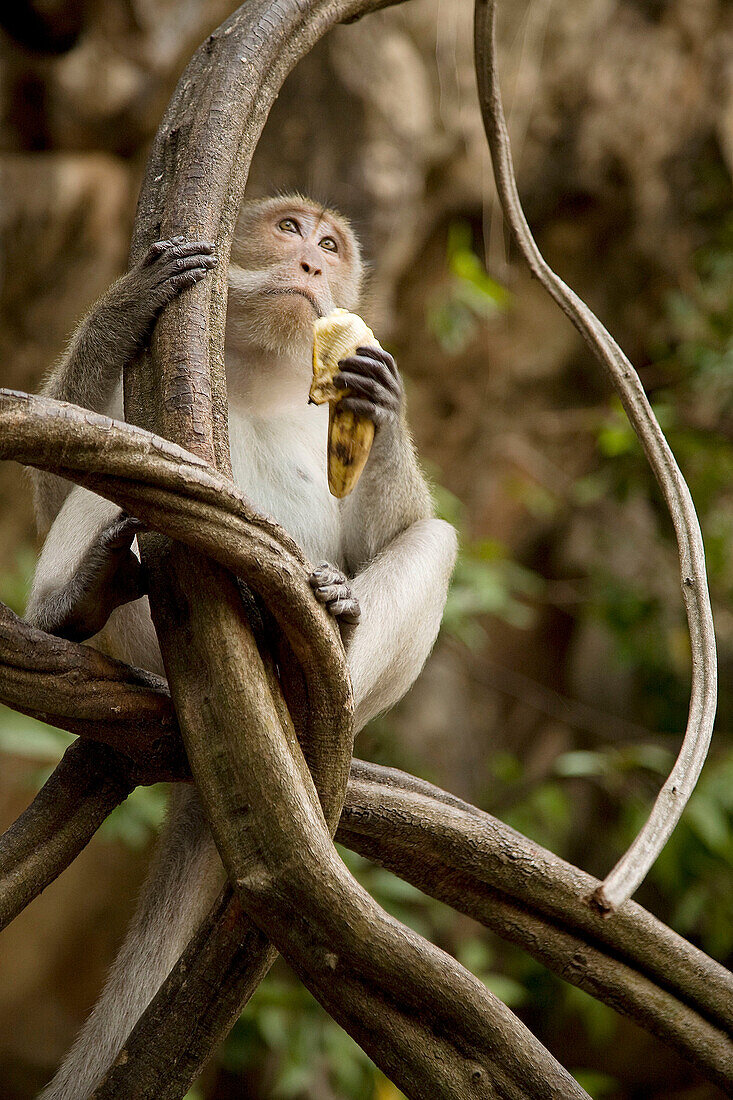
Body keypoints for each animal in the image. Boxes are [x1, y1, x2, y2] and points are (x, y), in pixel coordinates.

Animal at [27, 193, 457, 1095]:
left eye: (331, 244)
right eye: (290, 229)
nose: (312, 262)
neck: (258, 382)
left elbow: (401, 530)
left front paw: (383, 403)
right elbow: (61, 479)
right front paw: (123, 308)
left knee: (430, 540)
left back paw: (317, 655)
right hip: (143, 641)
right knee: (134, 468)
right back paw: (73, 604)